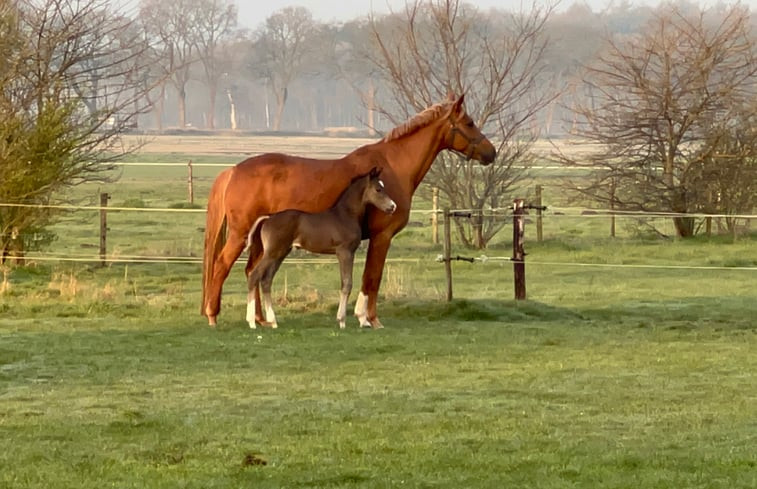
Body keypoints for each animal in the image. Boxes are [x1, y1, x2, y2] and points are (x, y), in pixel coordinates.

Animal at [201, 93, 496, 326]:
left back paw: (261, 319)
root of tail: (233, 171)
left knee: (253, 272)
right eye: (469, 123)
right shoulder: (381, 237)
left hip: (260, 243)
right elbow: (372, 278)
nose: (491, 153)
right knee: (222, 265)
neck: (392, 166)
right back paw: (213, 315)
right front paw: (369, 319)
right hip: (240, 235)